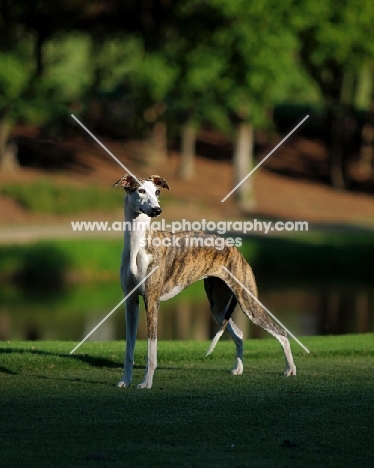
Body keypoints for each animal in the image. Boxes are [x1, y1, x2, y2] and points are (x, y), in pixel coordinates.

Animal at [113, 174, 296, 390]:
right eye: (141, 190)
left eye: (157, 192)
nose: (157, 210)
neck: (138, 244)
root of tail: (235, 249)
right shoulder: (131, 301)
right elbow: (129, 347)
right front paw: (125, 381)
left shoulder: (152, 301)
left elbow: (151, 350)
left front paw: (146, 382)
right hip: (218, 306)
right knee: (240, 334)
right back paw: (238, 369)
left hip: (249, 303)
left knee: (281, 332)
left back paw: (290, 369)